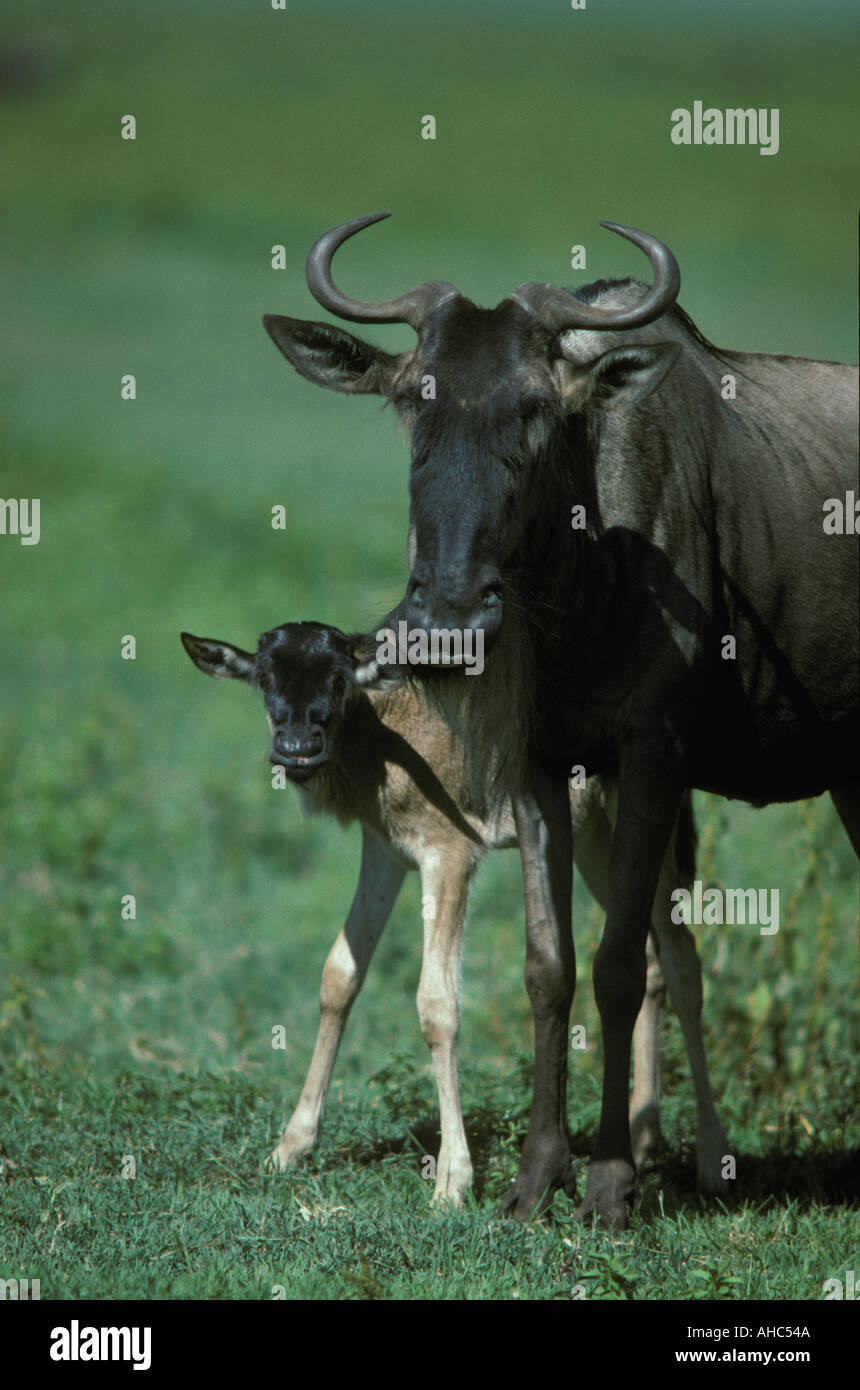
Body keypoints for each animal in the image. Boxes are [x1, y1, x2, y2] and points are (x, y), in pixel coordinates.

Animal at [181, 621, 728, 1204]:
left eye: (339, 679)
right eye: (263, 678)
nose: (297, 749)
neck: (386, 731)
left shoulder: (450, 851)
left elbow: (437, 1004)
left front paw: (452, 1181)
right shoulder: (385, 848)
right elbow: (340, 976)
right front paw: (290, 1147)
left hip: (647, 818)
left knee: (683, 960)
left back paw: (712, 1160)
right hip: (594, 837)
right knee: (647, 959)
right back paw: (643, 1141)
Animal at [262, 215, 859, 1228]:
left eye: (536, 409)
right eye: (410, 402)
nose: (446, 620)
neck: (584, 578)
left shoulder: (649, 756)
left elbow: (611, 967)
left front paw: (607, 1184)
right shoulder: (540, 772)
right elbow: (547, 968)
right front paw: (537, 1178)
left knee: (667, 959)